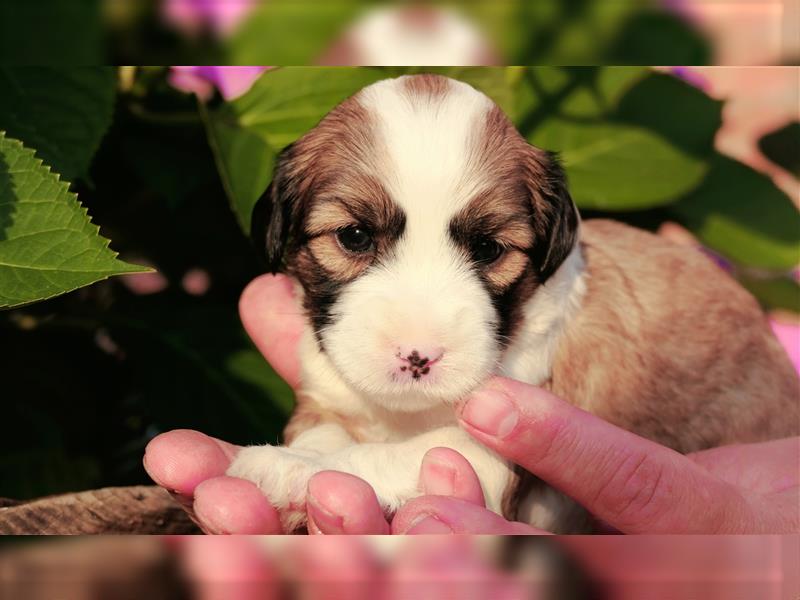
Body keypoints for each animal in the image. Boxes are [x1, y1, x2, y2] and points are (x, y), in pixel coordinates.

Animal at [227, 74, 800, 528]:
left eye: (488, 249)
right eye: (354, 237)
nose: (418, 357)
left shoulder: (484, 454)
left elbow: (377, 457)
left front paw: (288, 468)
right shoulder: (326, 401)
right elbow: (329, 435)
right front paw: (299, 457)